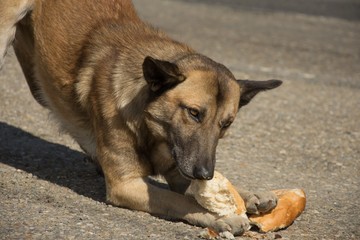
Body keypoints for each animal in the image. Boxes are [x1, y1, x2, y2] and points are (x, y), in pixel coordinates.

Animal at [0, 0, 282, 235]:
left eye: (226, 124)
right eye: (193, 113)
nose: (205, 174)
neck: (151, 129)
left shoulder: (179, 170)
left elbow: (193, 191)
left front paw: (247, 194)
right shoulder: (127, 186)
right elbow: (180, 200)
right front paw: (221, 217)